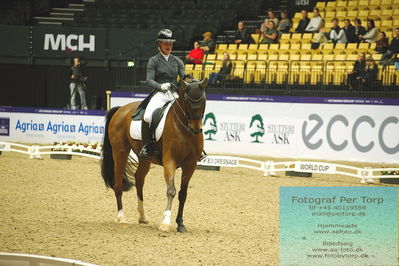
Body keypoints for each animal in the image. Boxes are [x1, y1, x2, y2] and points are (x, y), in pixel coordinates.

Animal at [101, 78, 209, 232]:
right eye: (187, 102)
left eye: (203, 101)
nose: (196, 129)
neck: (184, 130)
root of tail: (121, 109)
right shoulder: (170, 160)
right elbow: (171, 190)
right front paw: (165, 223)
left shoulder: (191, 165)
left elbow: (183, 194)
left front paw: (180, 224)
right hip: (120, 152)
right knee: (118, 185)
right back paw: (121, 218)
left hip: (144, 159)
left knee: (139, 179)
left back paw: (142, 217)